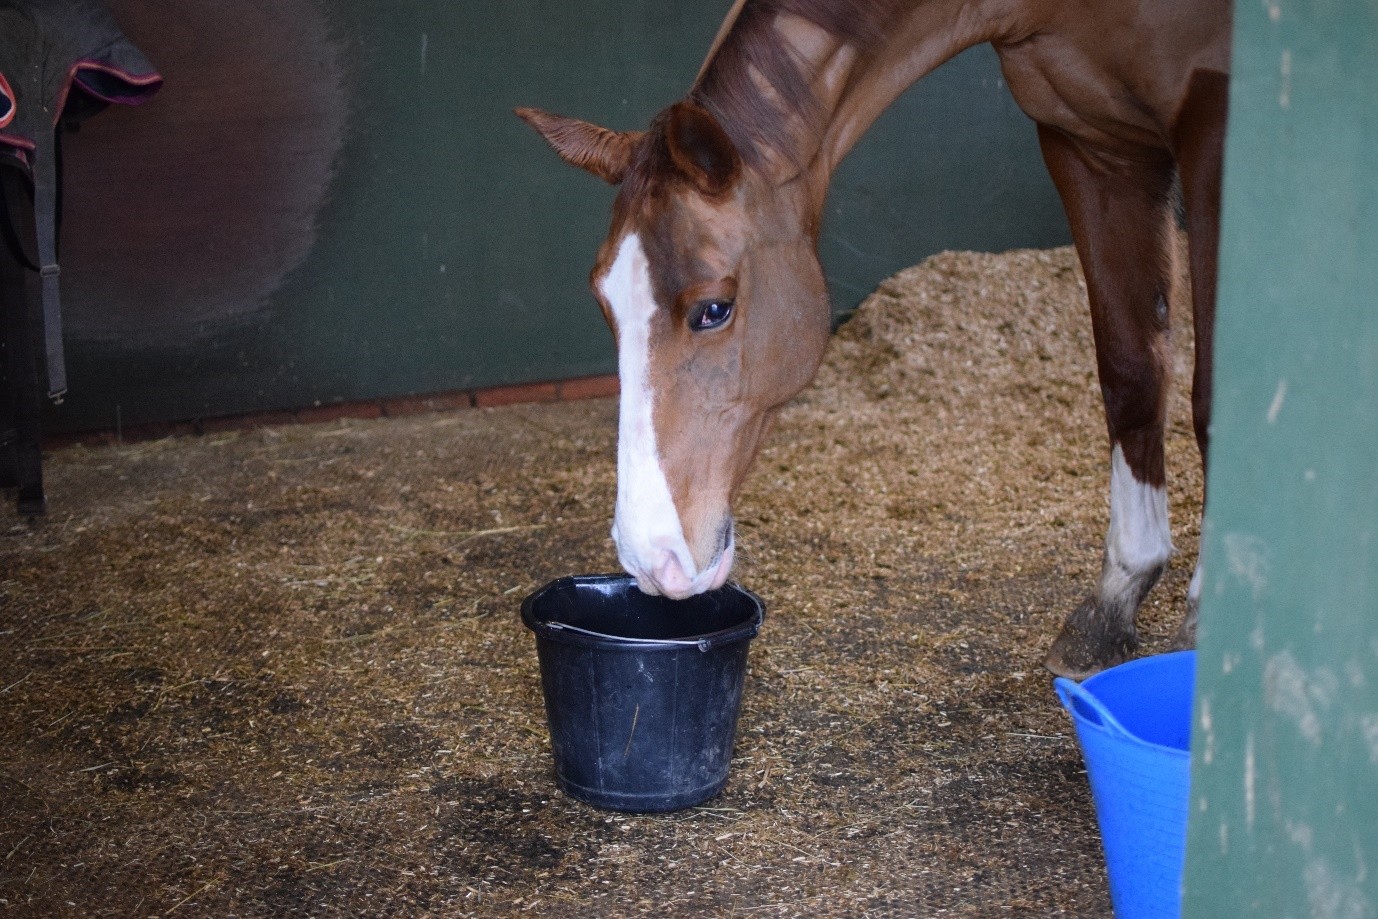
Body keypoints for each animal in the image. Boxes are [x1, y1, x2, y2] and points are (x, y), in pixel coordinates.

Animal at [518, 0, 1230, 679]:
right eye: (605, 303)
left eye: (714, 309)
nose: (649, 556)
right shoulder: (1086, 140)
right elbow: (1131, 370)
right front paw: (1114, 603)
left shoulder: (1214, 137)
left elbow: (1210, 399)